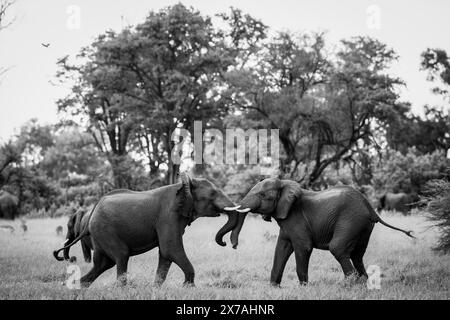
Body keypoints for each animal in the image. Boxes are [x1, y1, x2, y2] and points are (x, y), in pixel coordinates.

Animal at [53, 175, 239, 288]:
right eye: (213, 194)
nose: (225, 243)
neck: (183, 185)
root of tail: (93, 211)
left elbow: (165, 254)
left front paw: (156, 288)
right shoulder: (168, 216)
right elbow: (170, 249)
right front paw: (188, 288)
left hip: (99, 234)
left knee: (103, 264)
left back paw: (74, 287)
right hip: (105, 231)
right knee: (121, 256)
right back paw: (120, 289)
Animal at [218, 178, 414, 284]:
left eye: (263, 195)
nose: (231, 244)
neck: (285, 183)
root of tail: (370, 208)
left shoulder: (296, 218)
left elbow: (303, 248)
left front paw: (303, 288)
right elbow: (281, 249)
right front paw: (274, 287)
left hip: (351, 221)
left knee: (338, 248)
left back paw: (350, 285)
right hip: (363, 226)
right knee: (357, 255)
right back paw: (363, 283)